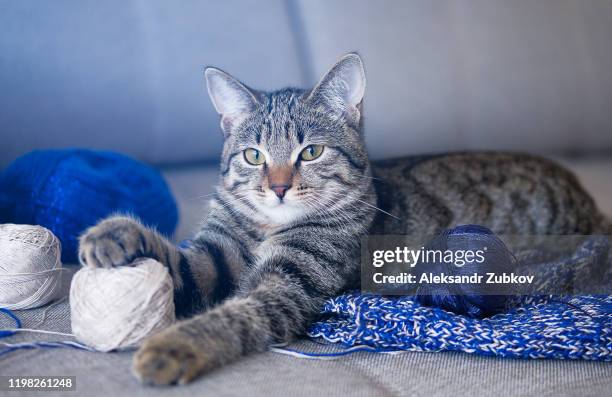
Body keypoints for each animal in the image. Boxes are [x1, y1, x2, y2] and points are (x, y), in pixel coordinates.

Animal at [79, 52, 608, 384]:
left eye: (310, 152)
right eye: (252, 155)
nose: (278, 186)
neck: (268, 228)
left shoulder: (290, 281)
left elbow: (237, 313)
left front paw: (173, 347)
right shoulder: (217, 255)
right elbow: (180, 262)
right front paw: (113, 233)